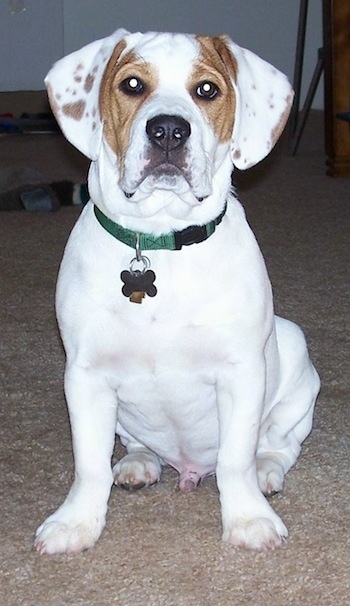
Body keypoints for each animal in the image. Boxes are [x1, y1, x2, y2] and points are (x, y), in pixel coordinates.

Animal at [34, 30, 320, 560]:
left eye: (207, 90)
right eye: (131, 84)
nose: (168, 131)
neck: (159, 241)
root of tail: (187, 467)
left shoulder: (241, 373)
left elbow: (235, 459)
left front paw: (248, 520)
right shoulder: (85, 375)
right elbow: (88, 464)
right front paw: (75, 523)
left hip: (293, 355)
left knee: (276, 445)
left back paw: (267, 473)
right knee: (131, 446)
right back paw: (138, 464)